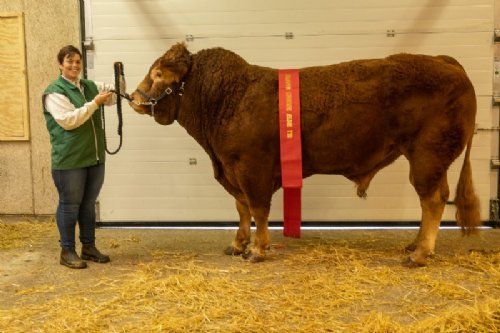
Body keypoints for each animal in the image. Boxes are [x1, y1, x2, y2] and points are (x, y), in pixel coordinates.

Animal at [129, 42, 480, 264]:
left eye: (158, 73)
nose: (133, 97)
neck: (229, 98)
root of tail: (444, 60)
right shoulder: (232, 170)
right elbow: (242, 208)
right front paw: (237, 244)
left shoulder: (251, 168)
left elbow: (257, 209)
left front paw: (257, 250)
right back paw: (415, 245)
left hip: (427, 155)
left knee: (432, 199)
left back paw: (419, 254)